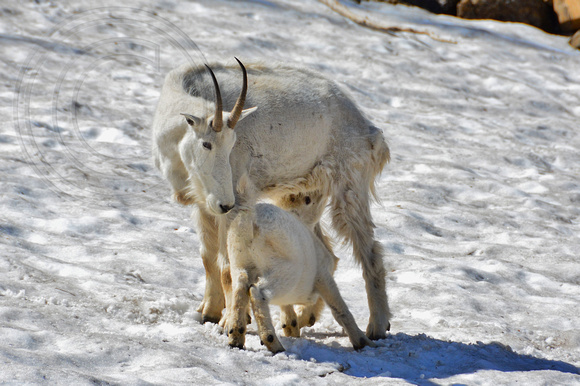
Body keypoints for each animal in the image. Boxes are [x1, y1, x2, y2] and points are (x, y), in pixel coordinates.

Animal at [152, 58, 392, 340]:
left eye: (232, 144)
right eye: (206, 144)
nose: (225, 203)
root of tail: (371, 132)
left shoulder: (237, 202)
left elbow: (227, 268)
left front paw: (227, 322)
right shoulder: (203, 203)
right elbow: (208, 258)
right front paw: (208, 313)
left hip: (350, 186)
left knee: (369, 252)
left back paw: (376, 326)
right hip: (301, 198)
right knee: (324, 255)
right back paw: (301, 319)